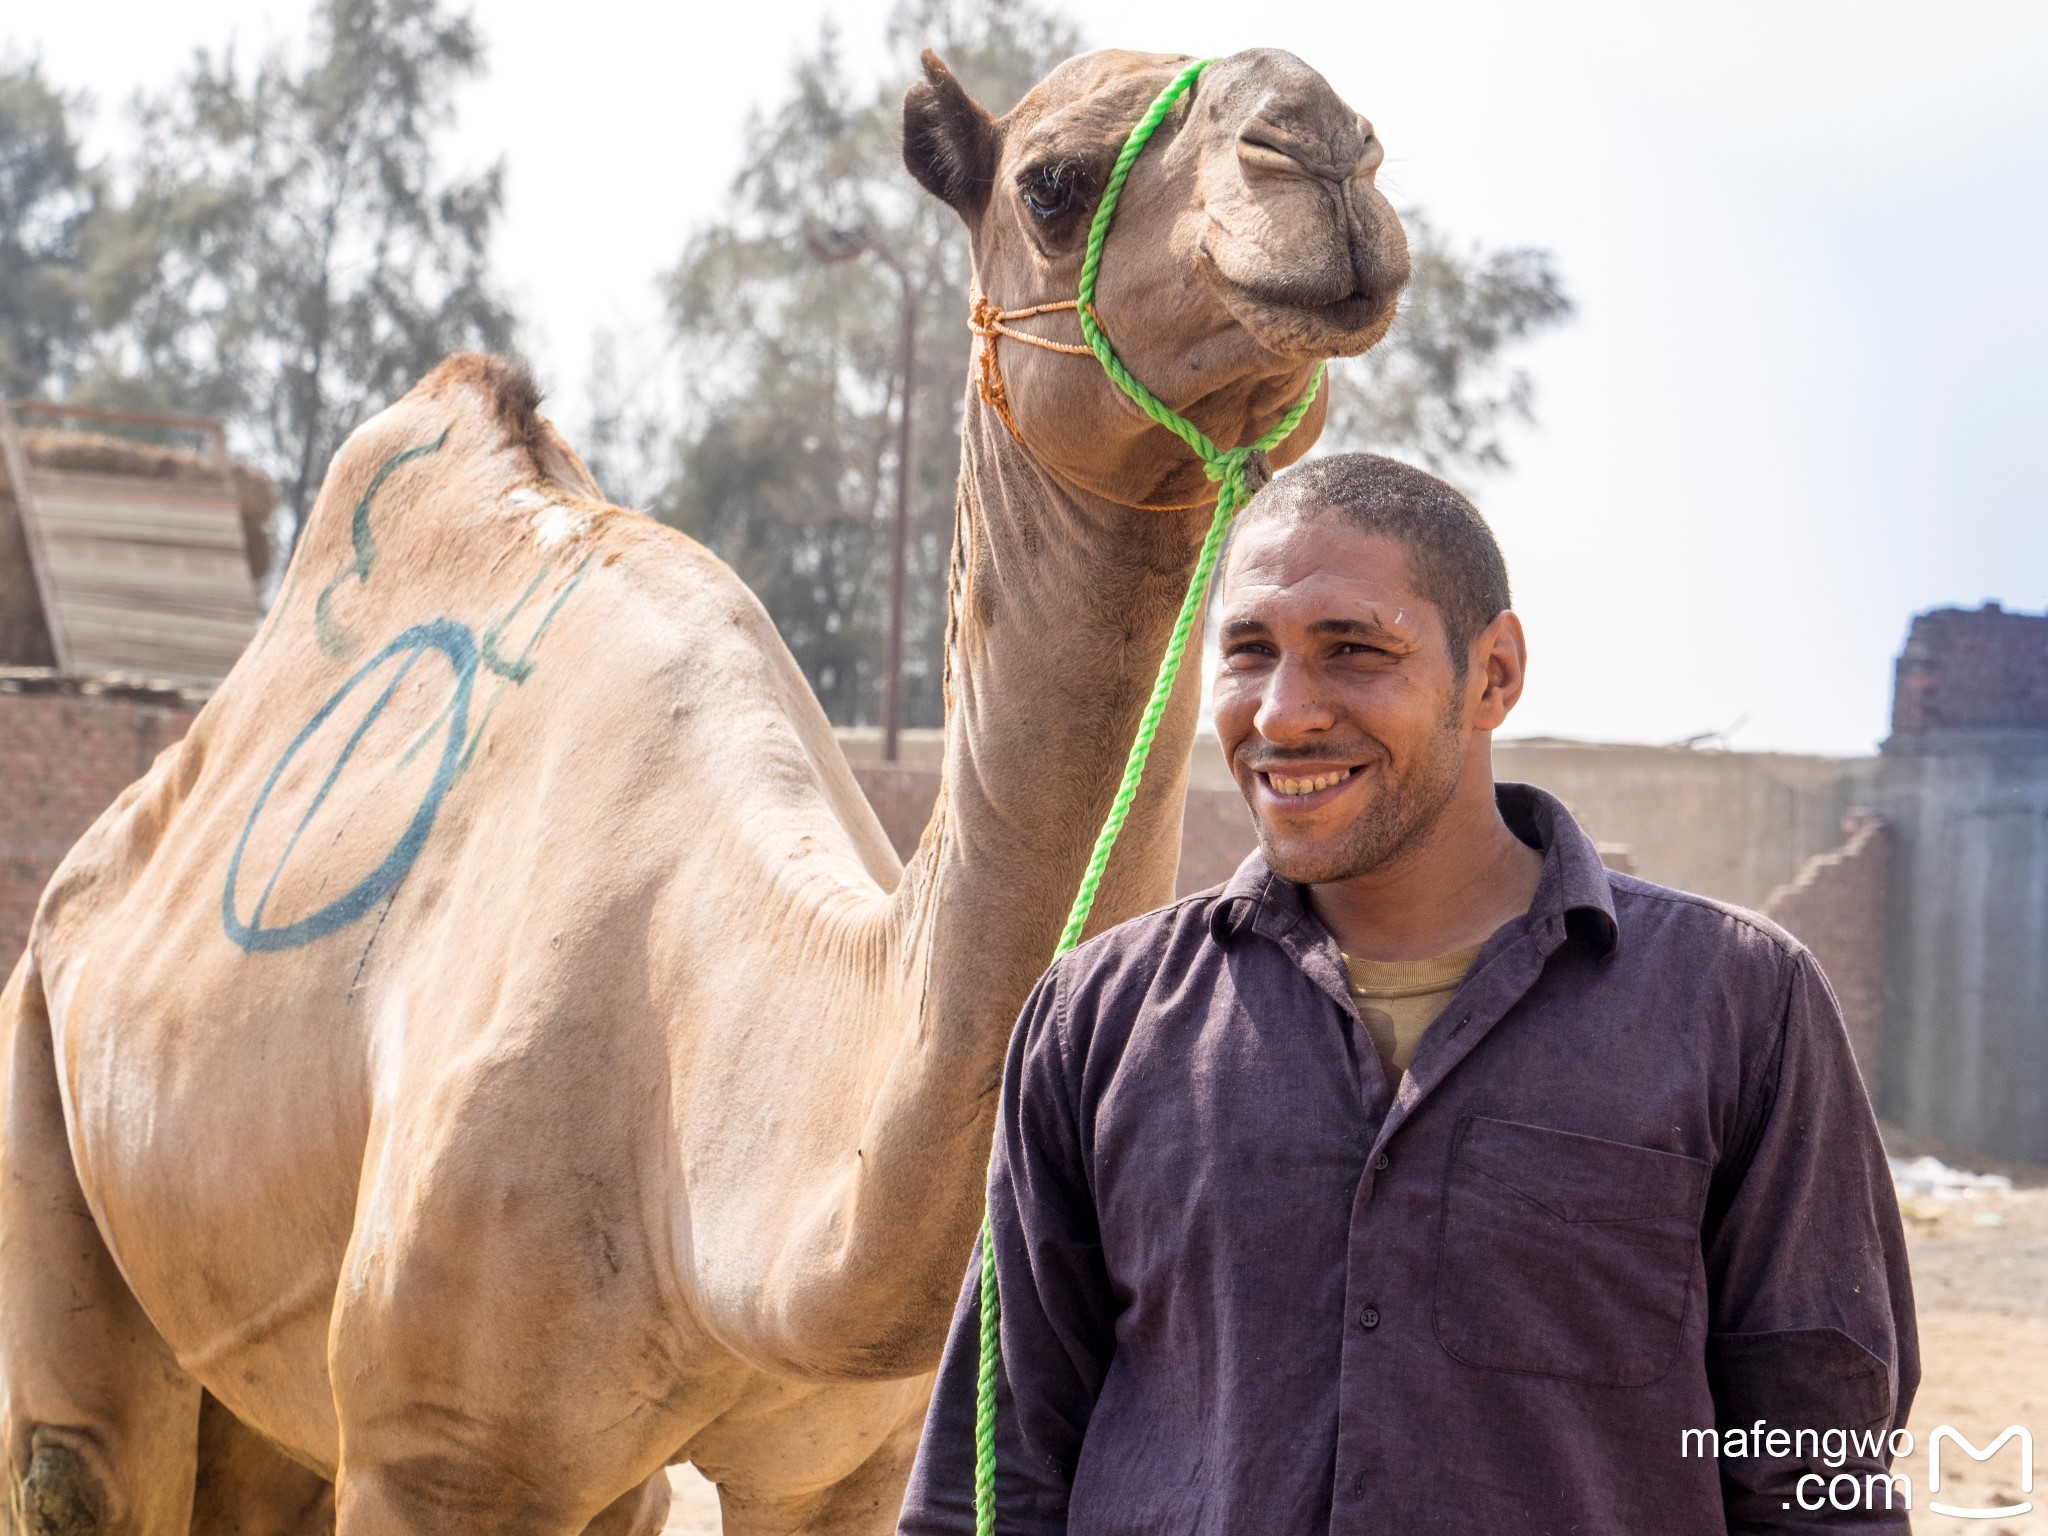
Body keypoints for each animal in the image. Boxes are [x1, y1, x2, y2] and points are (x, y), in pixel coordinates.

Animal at [0, 41, 1409, 1531]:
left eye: (1358, 127)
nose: (1321, 146)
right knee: (80, 1458)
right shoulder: (434, 1448)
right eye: (1052, 182)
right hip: (44, 1091)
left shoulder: (845, 1463)